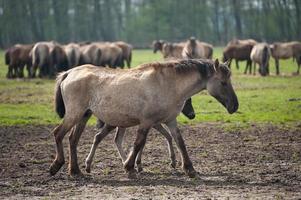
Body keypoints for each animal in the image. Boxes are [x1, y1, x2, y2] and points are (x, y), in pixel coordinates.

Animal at [48, 58, 237, 178]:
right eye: (223, 83)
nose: (235, 106)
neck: (168, 84)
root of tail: (69, 72)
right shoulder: (146, 122)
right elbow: (139, 143)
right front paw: (129, 168)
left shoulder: (170, 121)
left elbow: (179, 142)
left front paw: (189, 169)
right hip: (74, 114)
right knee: (58, 134)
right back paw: (56, 166)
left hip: (84, 116)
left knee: (73, 139)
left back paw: (76, 171)